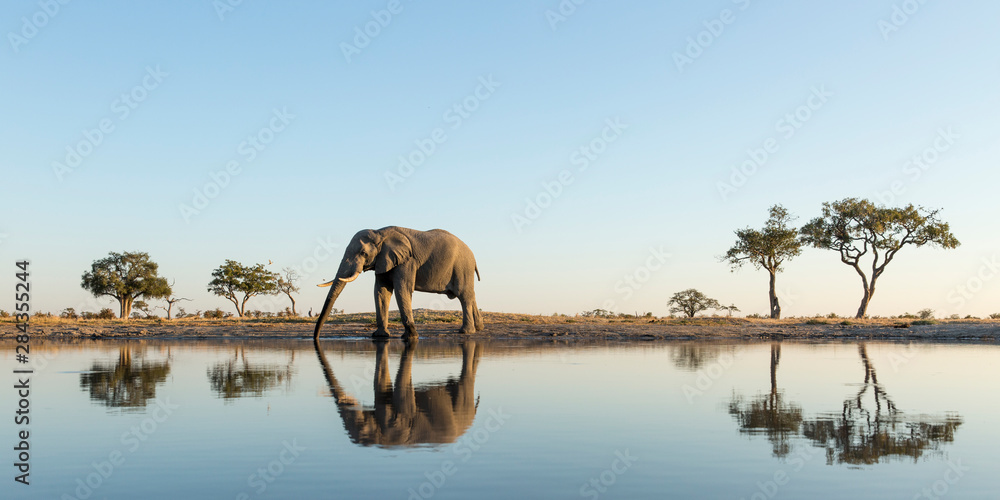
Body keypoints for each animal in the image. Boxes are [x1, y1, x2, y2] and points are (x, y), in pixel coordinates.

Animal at [314, 227, 482, 340]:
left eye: (363, 253)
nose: (316, 339)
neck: (379, 233)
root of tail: (473, 256)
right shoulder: (383, 261)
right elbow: (381, 291)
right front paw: (380, 336)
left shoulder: (407, 261)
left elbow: (402, 289)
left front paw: (411, 336)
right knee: (471, 295)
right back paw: (479, 327)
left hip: (462, 266)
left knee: (464, 296)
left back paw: (466, 331)